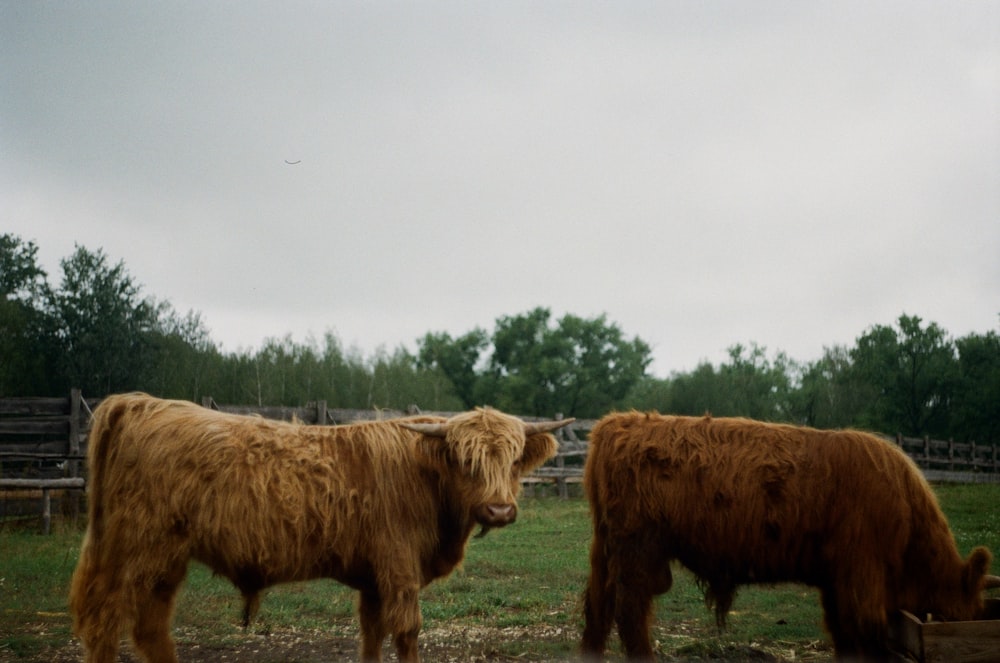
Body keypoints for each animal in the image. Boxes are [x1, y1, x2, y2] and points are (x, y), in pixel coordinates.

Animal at [68, 394, 572, 663]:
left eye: (513, 460)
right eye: (466, 461)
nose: (499, 510)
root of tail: (143, 403)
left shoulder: (374, 578)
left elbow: (372, 633)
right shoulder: (399, 568)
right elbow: (406, 631)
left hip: (166, 557)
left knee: (150, 625)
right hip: (137, 548)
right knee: (106, 620)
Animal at [580, 412, 1000, 660]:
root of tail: (618, 422)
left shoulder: (836, 579)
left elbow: (842, 632)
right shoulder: (861, 575)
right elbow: (860, 632)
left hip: (607, 547)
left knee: (597, 605)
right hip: (637, 550)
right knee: (630, 613)